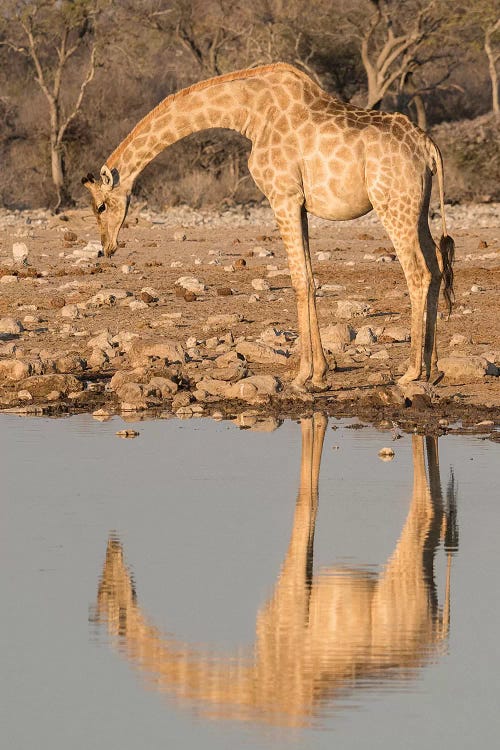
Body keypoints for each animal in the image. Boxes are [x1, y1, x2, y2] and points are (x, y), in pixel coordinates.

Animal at [84, 62, 456, 390]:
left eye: (101, 206)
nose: (108, 247)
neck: (249, 114)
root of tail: (429, 148)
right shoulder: (299, 204)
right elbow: (308, 276)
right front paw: (318, 375)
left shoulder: (283, 196)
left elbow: (299, 280)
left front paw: (304, 377)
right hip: (417, 208)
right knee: (438, 266)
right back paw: (433, 369)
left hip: (391, 204)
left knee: (418, 272)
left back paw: (411, 372)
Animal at [93, 418, 458, 728]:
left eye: (108, 595)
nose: (112, 550)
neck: (253, 680)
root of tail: (435, 632)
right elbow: (309, 496)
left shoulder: (288, 600)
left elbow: (305, 499)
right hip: (423, 572)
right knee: (439, 512)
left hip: (401, 574)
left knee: (424, 506)